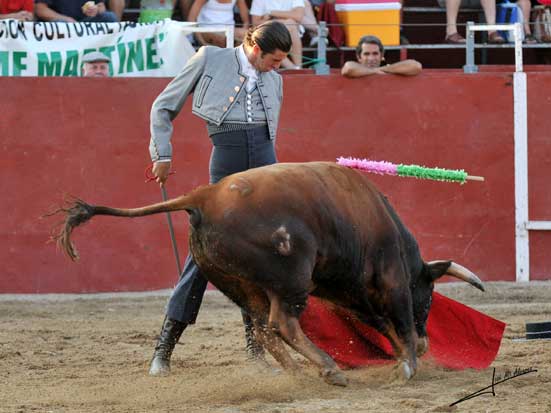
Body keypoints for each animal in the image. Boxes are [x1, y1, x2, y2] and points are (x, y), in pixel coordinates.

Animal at [52, 159, 484, 384]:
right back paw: (327, 369)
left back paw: (296, 372)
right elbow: (400, 320)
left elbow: (381, 322)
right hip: (291, 278)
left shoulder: (351, 293)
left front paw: (404, 358)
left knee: (262, 328)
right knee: (282, 324)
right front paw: (409, 362)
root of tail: (204, 196)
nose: (428, 342)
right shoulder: (392, 281)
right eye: (428, 297)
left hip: (244, 285)